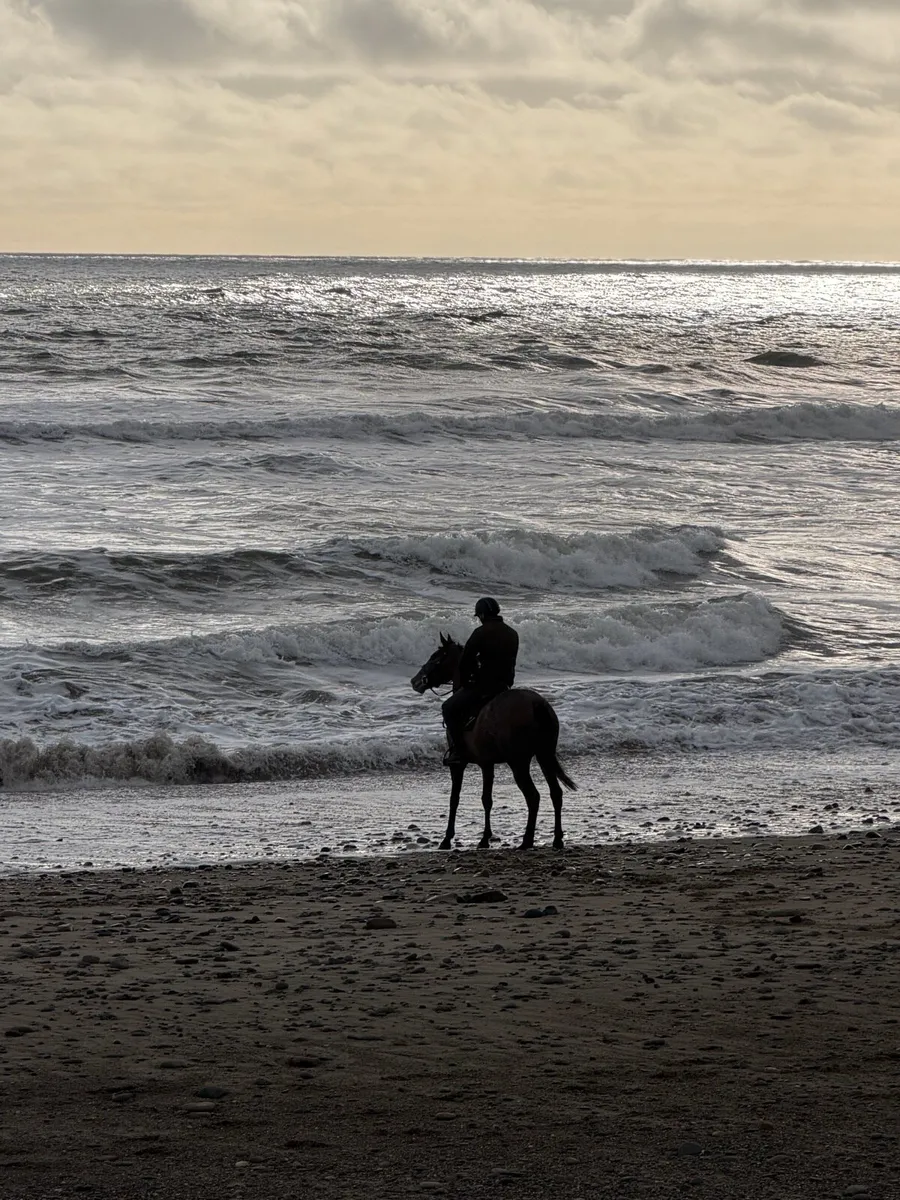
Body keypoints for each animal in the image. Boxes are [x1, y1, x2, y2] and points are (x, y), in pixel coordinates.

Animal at [410, 634, 576, 851]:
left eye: (434, 658)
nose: (415, 681)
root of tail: (536, 704)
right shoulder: (487, 764)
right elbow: (487, 799)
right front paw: (485, 838)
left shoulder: (459, 766)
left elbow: (454, 799)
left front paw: (447, 839)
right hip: (544, 755)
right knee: (555, 793)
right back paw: (556, 839)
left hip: (519, 762)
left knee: (533, 796)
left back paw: (527, 840)